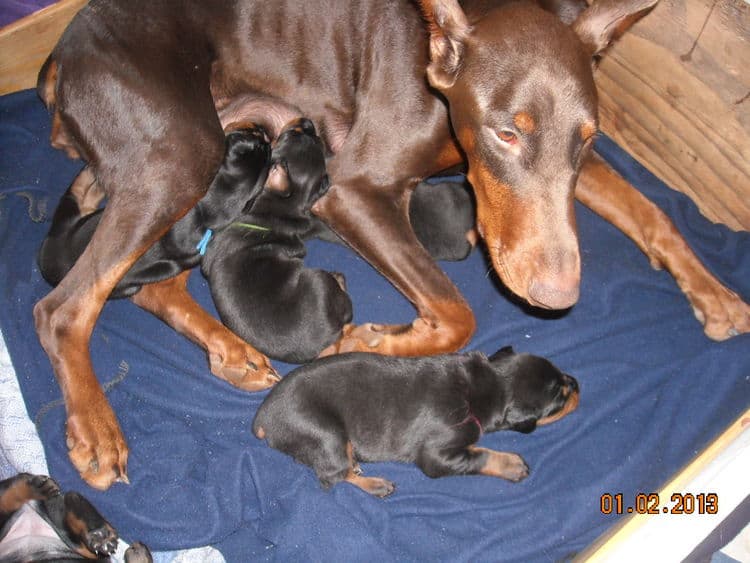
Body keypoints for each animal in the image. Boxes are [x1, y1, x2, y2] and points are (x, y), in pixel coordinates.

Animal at [203, 120, 356, 366]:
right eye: (293, 134)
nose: (307, 121)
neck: (277, 203)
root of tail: (333, 333)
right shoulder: (312, 223)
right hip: (319, 279)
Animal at [254, 348, 580, 498]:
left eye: (563, 379)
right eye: (560, 397)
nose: (576, 383)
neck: (482, 385)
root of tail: (262, 417)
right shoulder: (436, 454)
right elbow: (480, 455)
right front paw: (512, 464)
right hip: (325, 434)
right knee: (331, 477)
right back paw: (376, 484)